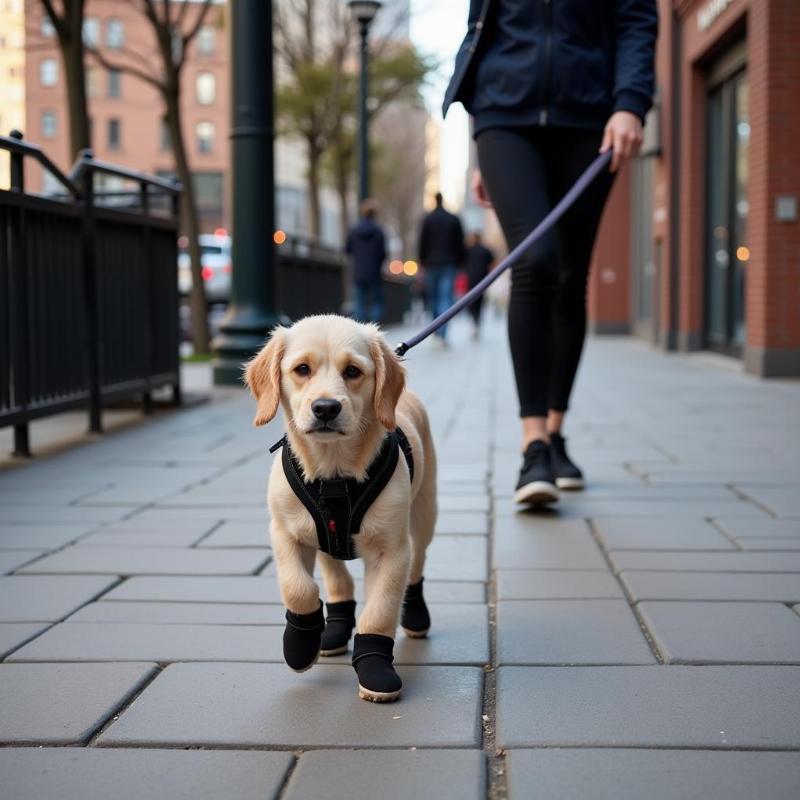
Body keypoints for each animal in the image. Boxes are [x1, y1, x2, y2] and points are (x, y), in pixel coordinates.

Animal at [245, 316, 438, 704]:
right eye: (302, 369)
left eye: (352, 371)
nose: (326, 408)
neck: (333, 474)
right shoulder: (284, 532)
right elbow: (299, 588)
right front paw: (302, 641)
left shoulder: (393, 550)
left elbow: (380, 610)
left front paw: (375, 668)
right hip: (320, 533)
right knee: (337, 578)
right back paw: (332, 630)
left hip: (424, 516)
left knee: (417, 567)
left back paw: (415, 616)